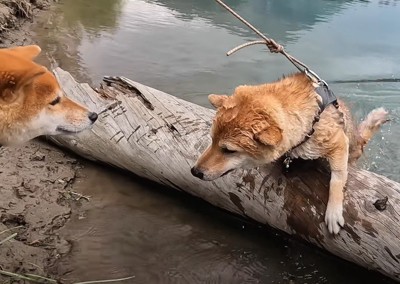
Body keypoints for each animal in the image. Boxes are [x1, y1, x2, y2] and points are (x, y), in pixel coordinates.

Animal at [192, 72, 390, 234]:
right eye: (212, 140)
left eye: (228, 150)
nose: (195, 171)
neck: (312, 119)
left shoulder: (339, 142)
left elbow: (337, 179)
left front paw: (333, 211)